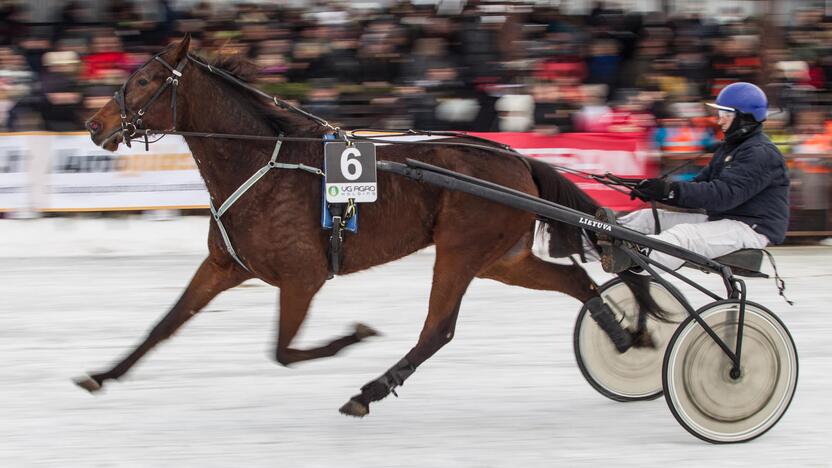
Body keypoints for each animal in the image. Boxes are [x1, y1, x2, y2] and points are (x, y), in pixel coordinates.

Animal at [79, 37, 664, 416]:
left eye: (146, 80)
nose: (93, 123)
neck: (263, 164)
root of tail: (517, 158)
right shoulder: (223, 265)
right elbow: (164, 325)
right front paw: (103, 374)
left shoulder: (302, 277)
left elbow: (283, 351)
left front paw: (354, 335)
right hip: (501, 258)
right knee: (576, 281)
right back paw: (623, 336)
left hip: (461, 250)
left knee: (437, 329)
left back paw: (370, 391)